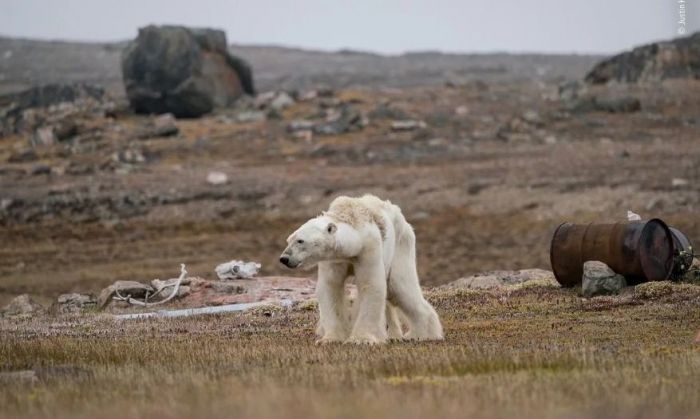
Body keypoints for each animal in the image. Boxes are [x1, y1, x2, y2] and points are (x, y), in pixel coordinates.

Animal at [278, 194, 442, 344]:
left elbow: (370, 284)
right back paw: (395, 334)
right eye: (289, 239)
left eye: (300, 241)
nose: (284, 258)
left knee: (400, 287)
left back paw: (422, 334)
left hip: (401, 245)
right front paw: (330, 339)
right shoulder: (334, 258)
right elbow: (331, 287)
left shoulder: (368, 248)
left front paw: (361, 339)